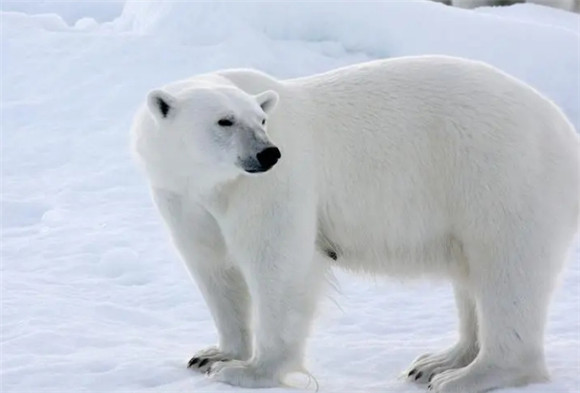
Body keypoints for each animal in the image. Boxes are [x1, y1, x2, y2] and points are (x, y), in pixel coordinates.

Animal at [131, 56, 580, 392]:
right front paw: (214, 354)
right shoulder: (183, 197)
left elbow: (277, 265)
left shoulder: (272, 187)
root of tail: (564, 128)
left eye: (261, 120)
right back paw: (437, 362)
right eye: (225, 120)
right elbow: (213, 269)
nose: (269, 153)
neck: (213, 183)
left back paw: (469, 375)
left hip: (504, 177)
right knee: (472, 275)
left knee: (507, 273)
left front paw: (249, 371)